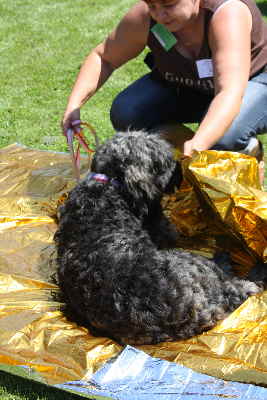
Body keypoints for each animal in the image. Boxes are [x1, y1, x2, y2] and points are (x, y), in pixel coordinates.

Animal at [55, 130, 266, 344]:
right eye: (161, 162)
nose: (179, 170)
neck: (108, 185)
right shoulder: (157, 222)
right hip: (203, 266)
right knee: (238, 280)